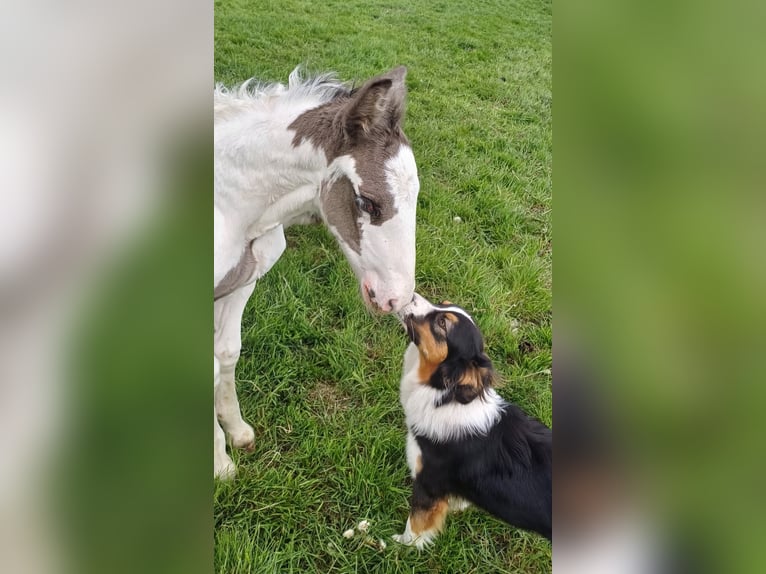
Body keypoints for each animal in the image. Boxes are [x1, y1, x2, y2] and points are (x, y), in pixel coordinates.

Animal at [214, 67, 420, 478]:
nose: (397, 298)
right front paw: (218, 463)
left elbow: (227, 352)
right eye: (367, 202)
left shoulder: (241, 283)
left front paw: (236, 431)